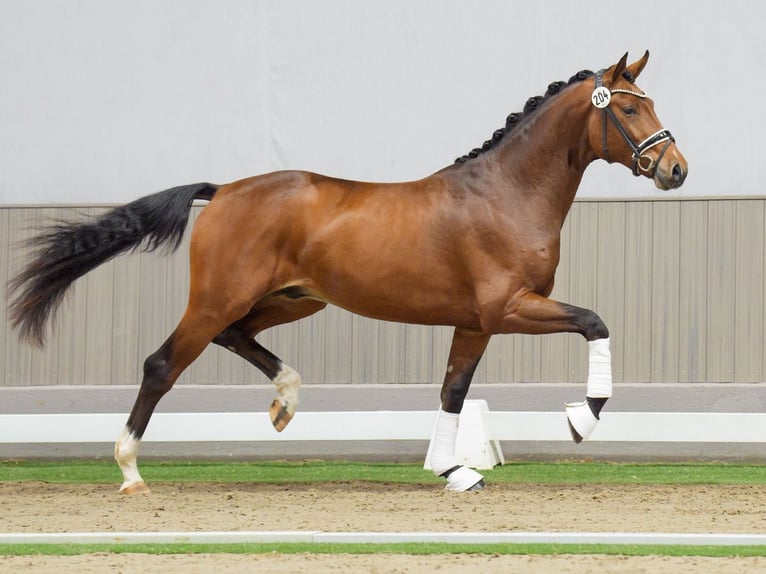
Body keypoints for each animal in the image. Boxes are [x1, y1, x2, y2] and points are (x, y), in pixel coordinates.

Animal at [7, 51, 688, 498]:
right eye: (630, 107)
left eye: (651, 102)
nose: (675, 168)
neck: (505, 194)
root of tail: (223, 190)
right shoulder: (508, 308)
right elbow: (595, 322)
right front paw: (580, 419)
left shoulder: (475, 323)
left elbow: (453, 391)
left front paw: (453, 471)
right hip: (218, 299)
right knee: (161, 364)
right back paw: (129, 470)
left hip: (294, 299)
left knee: (236, 337)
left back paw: (285, 403)